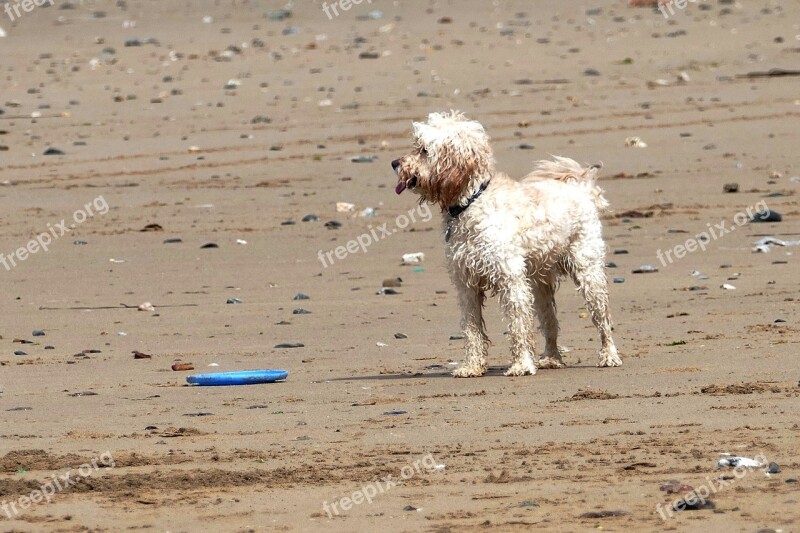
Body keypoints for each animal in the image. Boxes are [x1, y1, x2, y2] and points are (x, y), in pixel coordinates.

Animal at [390, 110, 620, 376]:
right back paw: (551, 359)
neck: (472, 202)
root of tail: (579, 187)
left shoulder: (510, 279)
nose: (394, 163)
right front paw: (471, 366)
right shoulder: (465, 284)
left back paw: (609, 356)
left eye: (424, 150)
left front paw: (521, 364)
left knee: (603, 320)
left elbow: (518, 326)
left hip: (588, 272)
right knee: (550, 322)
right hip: (540, 283)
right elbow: (472, 330)